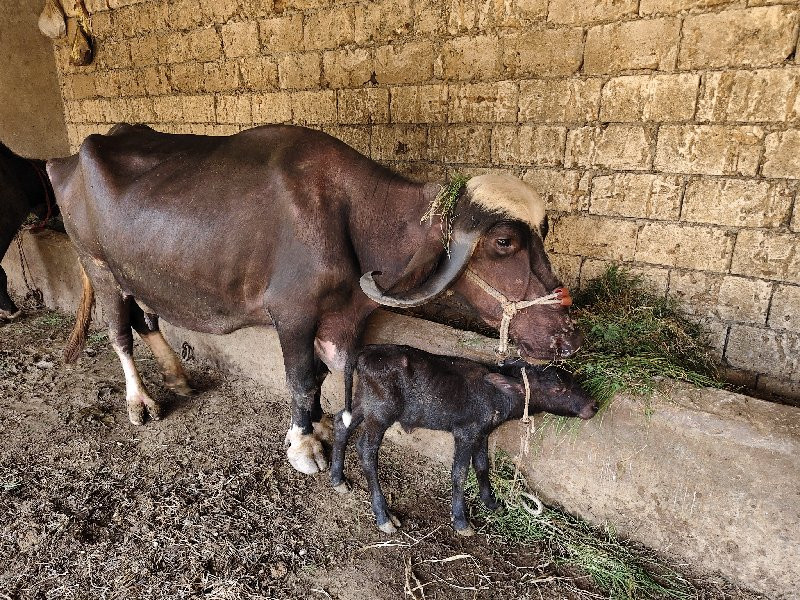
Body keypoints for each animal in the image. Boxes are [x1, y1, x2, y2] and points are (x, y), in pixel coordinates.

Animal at [47, 124, 580, 476]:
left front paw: (324, 425)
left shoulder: (342, 316)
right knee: (119, 331)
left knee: (147, 320)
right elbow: (302, 379)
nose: (568, 337)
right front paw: (304, 444)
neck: (353, 213)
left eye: (544, 231)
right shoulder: (294, 313)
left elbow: (330, 373)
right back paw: (140, 402)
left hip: (140, 273)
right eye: (504, 242)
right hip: (98, 264)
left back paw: (178, 376)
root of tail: (69, 158)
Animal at [328, 344, 596, 536]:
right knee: (366, 450)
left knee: (341, 423)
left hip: (363, 402)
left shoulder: (482, 432)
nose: (593, 406)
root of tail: (366, 351)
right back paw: (383, 516)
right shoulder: (466, 432)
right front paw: (461, 520)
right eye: (558, 390)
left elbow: (482, 466)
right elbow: (460, 473)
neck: (496, 394)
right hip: (380, 413)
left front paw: (491, 503)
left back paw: (337, 479)